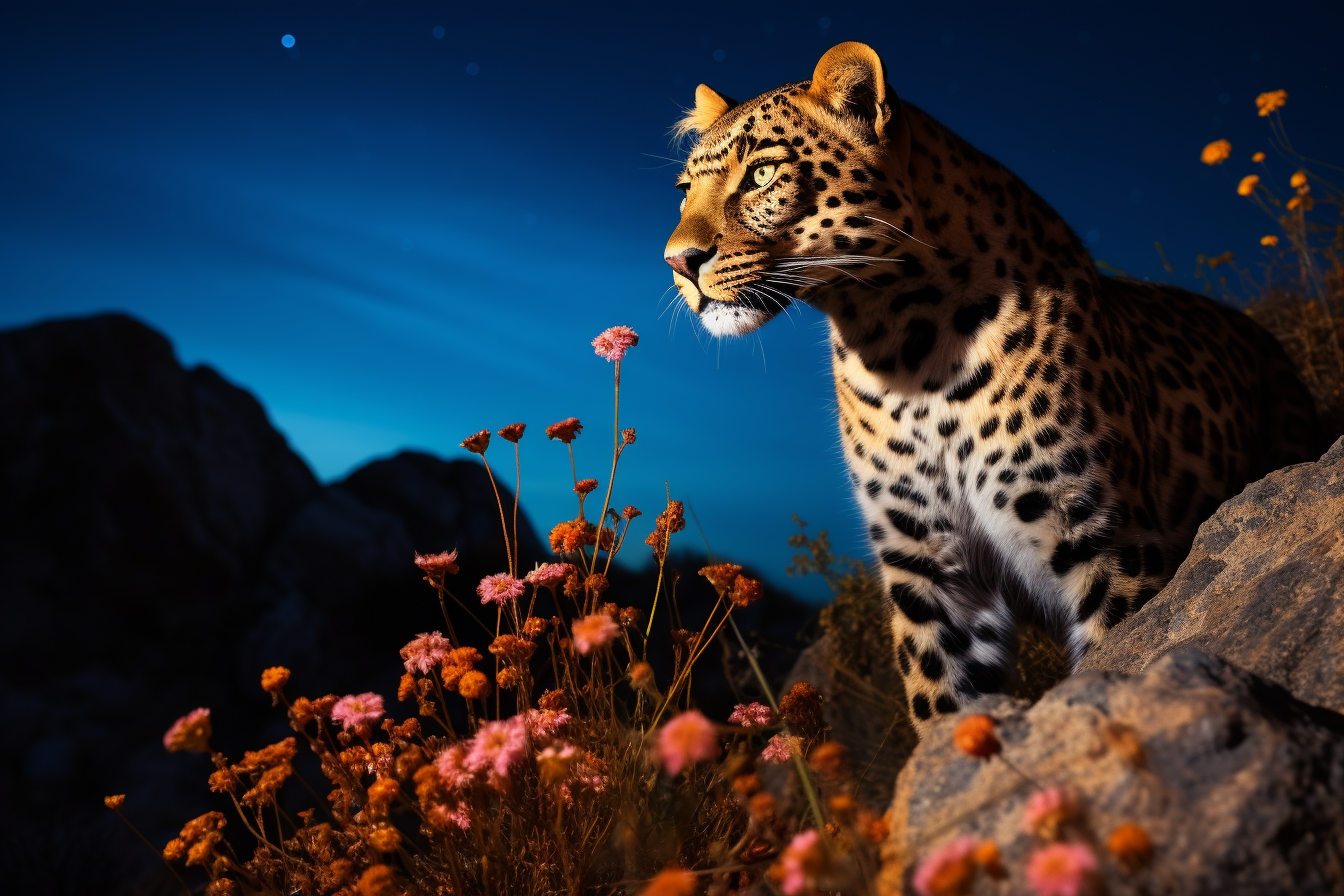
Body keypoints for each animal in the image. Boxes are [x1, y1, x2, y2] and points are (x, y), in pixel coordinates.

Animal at [661, 40, 1322, 736]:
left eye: (762, 175)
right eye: (684, 189)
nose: (677, 262)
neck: (902, 348)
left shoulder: (1109, 542)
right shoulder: (928, 567)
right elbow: (942, 705)